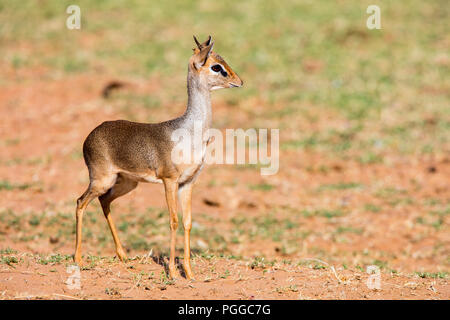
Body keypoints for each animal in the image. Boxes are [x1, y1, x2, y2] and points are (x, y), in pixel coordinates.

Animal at [74, 36, 243, 278]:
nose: (239, 81)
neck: (189, 131)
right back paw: (77, 258)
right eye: (216, 67)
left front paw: (189, 273)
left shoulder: (188, 183)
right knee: (80, 202)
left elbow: (187, 222)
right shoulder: (169, 180)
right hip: (101, 180)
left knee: (104, 201)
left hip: (127, 183)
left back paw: (122, 255)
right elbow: (173, 221)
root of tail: (91, 134)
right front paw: (172, 271)